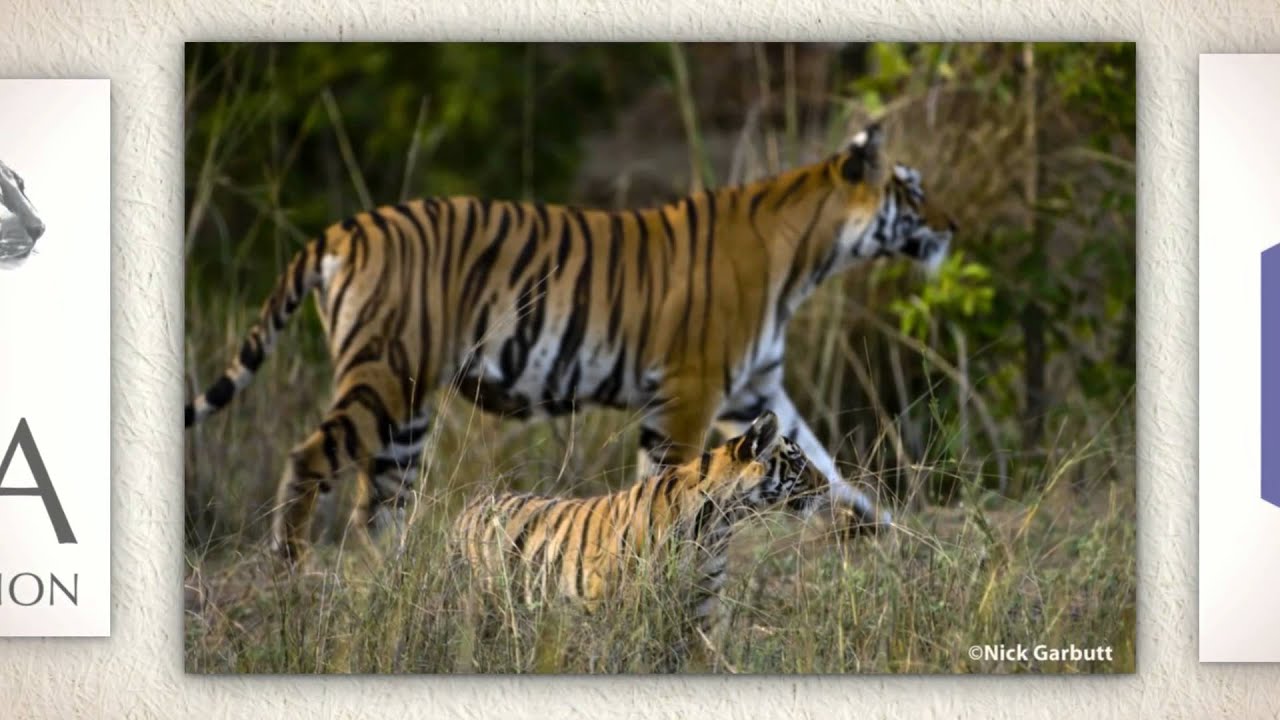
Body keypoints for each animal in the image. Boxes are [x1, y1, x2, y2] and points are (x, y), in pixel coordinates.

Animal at [183, 121, 955, 562]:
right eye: (913, 191)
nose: (953, 227)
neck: (811, 255)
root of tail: (345, 226)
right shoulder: (692, 386)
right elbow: (669, 479)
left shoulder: (756, 388)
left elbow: (827, 464)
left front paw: (890, 530)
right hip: (384, 375)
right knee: (310, 460)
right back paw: (291, 568)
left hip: (409, 405)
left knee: (380, 505)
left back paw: (392, 582)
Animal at [450, 410, 826, 647]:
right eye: (798, 460)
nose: (827, 486)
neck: (719, 523)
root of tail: (470, 505)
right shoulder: (633, 604)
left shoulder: (702, 601)